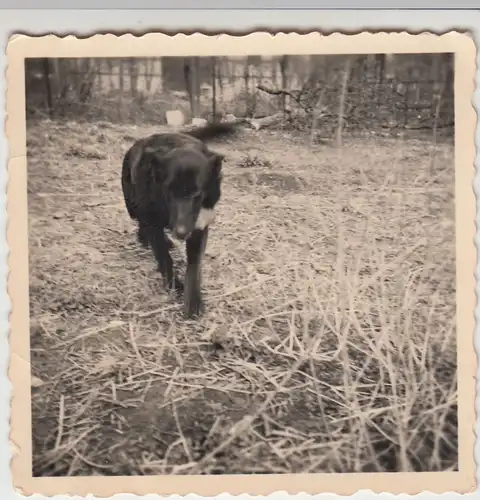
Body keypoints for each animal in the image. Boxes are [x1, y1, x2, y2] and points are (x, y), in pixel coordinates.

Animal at [122, 122, 238, 316]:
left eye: (197, 195)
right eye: (169, 192)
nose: (181, 233)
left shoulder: (199, 226)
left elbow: (194, 266)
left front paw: (193, 301)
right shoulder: (151, 220)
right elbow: (163, 257)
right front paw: (174, 286)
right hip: (132, 205)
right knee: (140, 224)